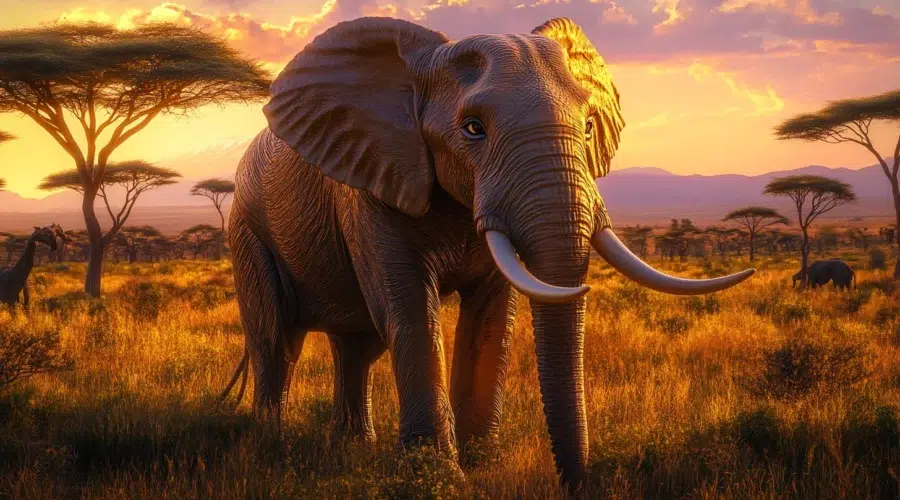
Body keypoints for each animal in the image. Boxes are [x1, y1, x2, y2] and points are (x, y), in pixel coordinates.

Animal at [225, 16, 755, 489]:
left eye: (588, 127)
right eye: (473, 128)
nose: (577, 484)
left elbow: (492, 318)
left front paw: (482, 466)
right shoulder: (370, 185)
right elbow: (409, 312)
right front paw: (438, 477)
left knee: (356, 345)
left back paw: (353, 449)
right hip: (247, 231)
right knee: (276, 338)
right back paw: (271, 448)